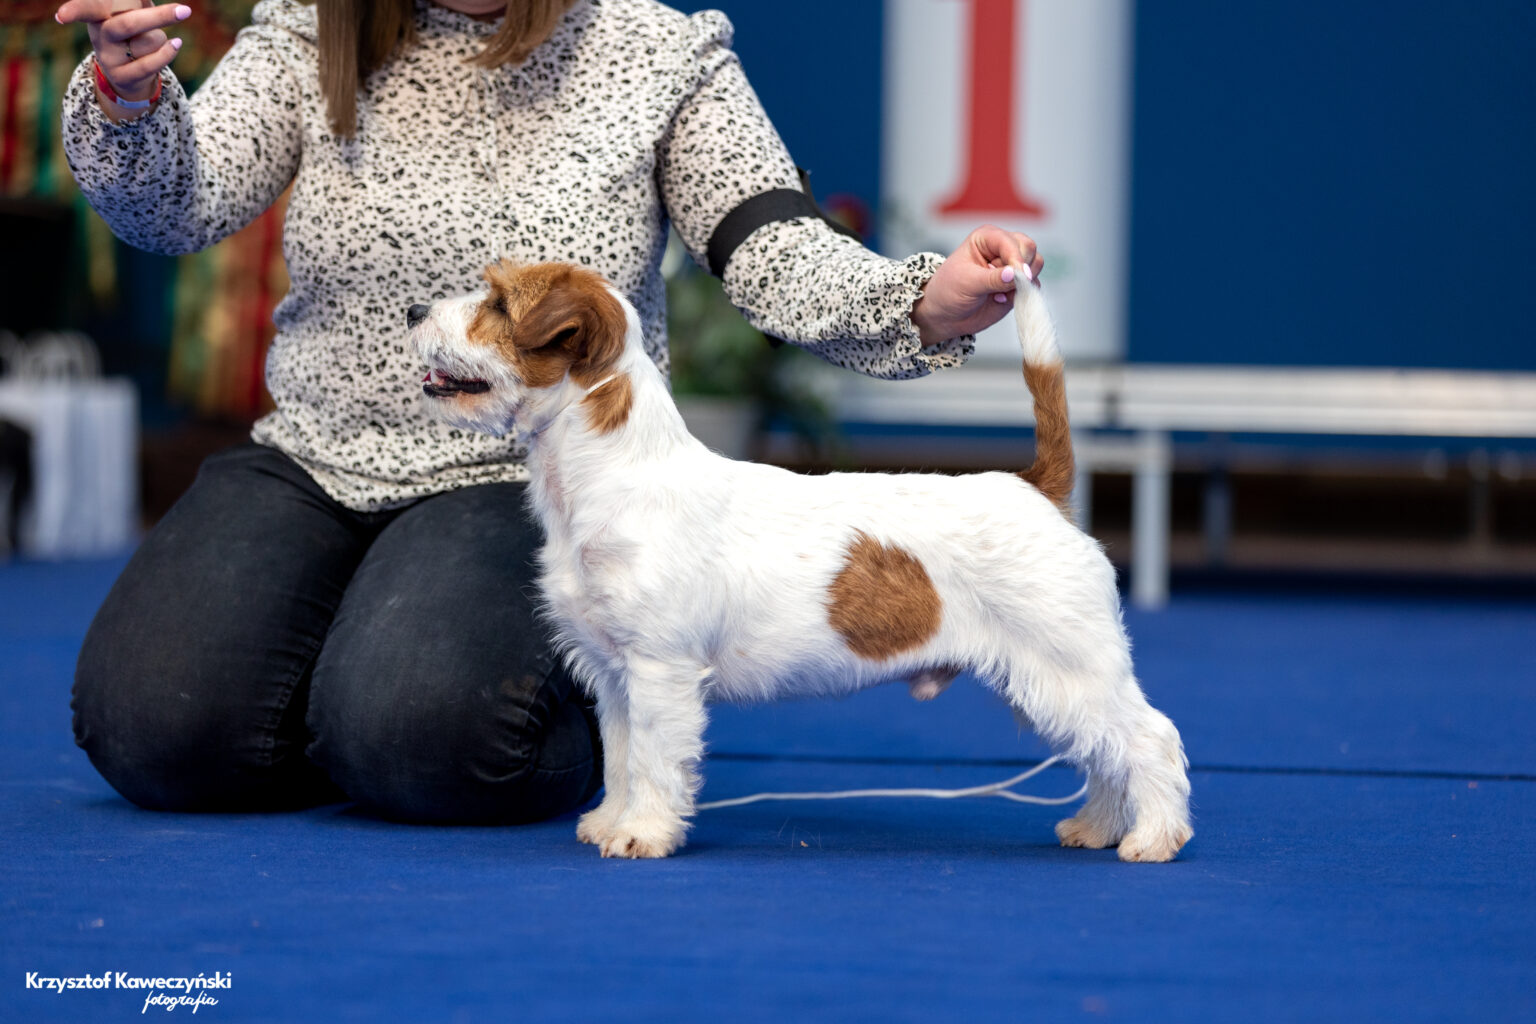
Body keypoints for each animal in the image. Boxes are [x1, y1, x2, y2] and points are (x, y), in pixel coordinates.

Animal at [405, 260, 1185, 859]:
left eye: (497, 303)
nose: (412, 309)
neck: (615, 470)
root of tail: (1036, 486)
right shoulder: (613, 672)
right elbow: (622, 756)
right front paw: (608, 821)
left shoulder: (659, 670)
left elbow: (655, 759)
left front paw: (644, 835)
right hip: (1047, 679)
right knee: (1103, 753)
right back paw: (1097, 827)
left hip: (1069, 665)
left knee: (1149, 738)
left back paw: (1154, 838)